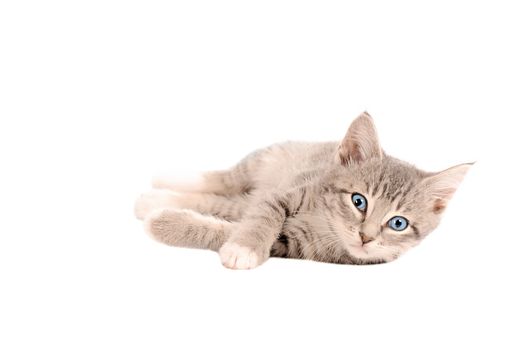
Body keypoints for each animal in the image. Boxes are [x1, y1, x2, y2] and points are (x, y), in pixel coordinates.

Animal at [134, 112, 472, 268]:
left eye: (398, 223)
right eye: (359, 201)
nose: (366, 237)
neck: (326, 226)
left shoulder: (291, 245)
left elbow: (222, 227)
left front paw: (164, 222)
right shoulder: (284, 193)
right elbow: (261, 218)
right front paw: (245, 246)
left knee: (227, 203)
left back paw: (154, 203)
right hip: (263, 161)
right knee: (222, 181)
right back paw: (169, 180)